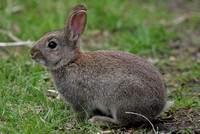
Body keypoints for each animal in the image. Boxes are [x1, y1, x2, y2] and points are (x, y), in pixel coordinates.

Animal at [30, 3, 171, 125]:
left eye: (52, 44)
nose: (32, 53)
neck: (69, 61)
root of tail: (159, 106)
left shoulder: (79, 100)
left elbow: (80, 113)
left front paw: (74, 122)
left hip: (122, 101)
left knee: (121, 121)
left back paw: (98, 120)